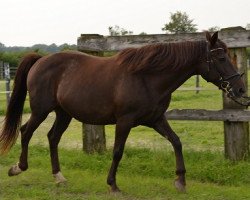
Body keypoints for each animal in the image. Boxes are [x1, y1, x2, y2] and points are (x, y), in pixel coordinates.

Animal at [0, 31, 247, 192]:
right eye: (221, 57)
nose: (241, 89)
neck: (147, 78)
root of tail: (40, 60)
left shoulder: (156, 120)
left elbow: (176, 142)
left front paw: (180, 181)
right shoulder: (124, 121)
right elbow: (118, 151)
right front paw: (113, 185)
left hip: (64, 113)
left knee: (53, 137)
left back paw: (59, 177)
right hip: (41, 110)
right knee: (26, 131)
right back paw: (18, 168)